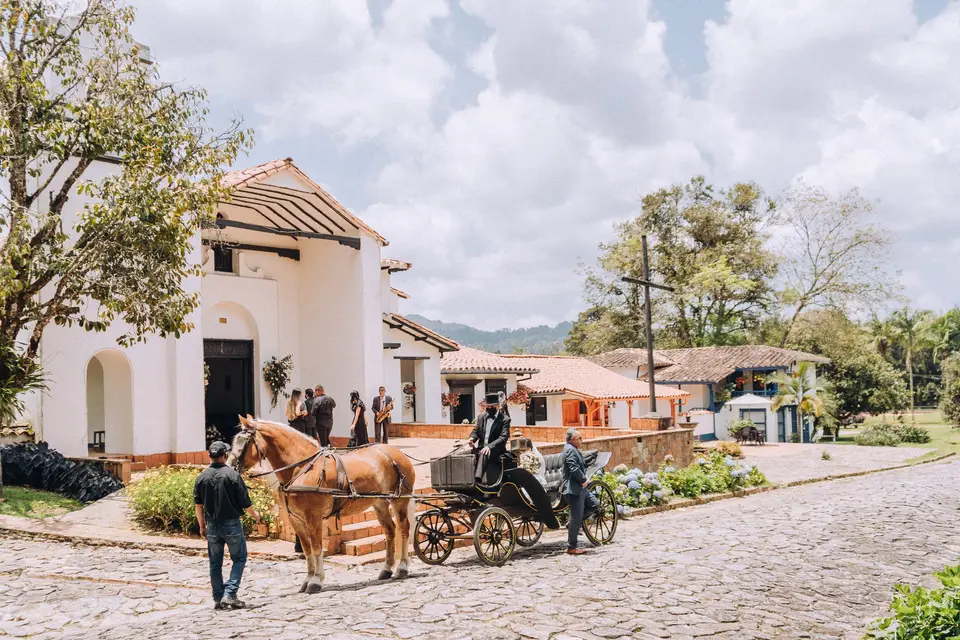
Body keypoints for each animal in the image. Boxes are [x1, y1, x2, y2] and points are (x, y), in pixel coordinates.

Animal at [231, 418, 418, 592]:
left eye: (243, 442)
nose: (230, 466)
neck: (302, 468)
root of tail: (397, 453)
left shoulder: (313, 517)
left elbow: (316, 547)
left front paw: (316, 581)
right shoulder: (295, 519)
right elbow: (307, 549)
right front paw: (308, 578)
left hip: (400, 500)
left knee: (403, 529)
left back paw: (402, 567)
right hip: (379, 502)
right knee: (390, 530)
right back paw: (386, 569)